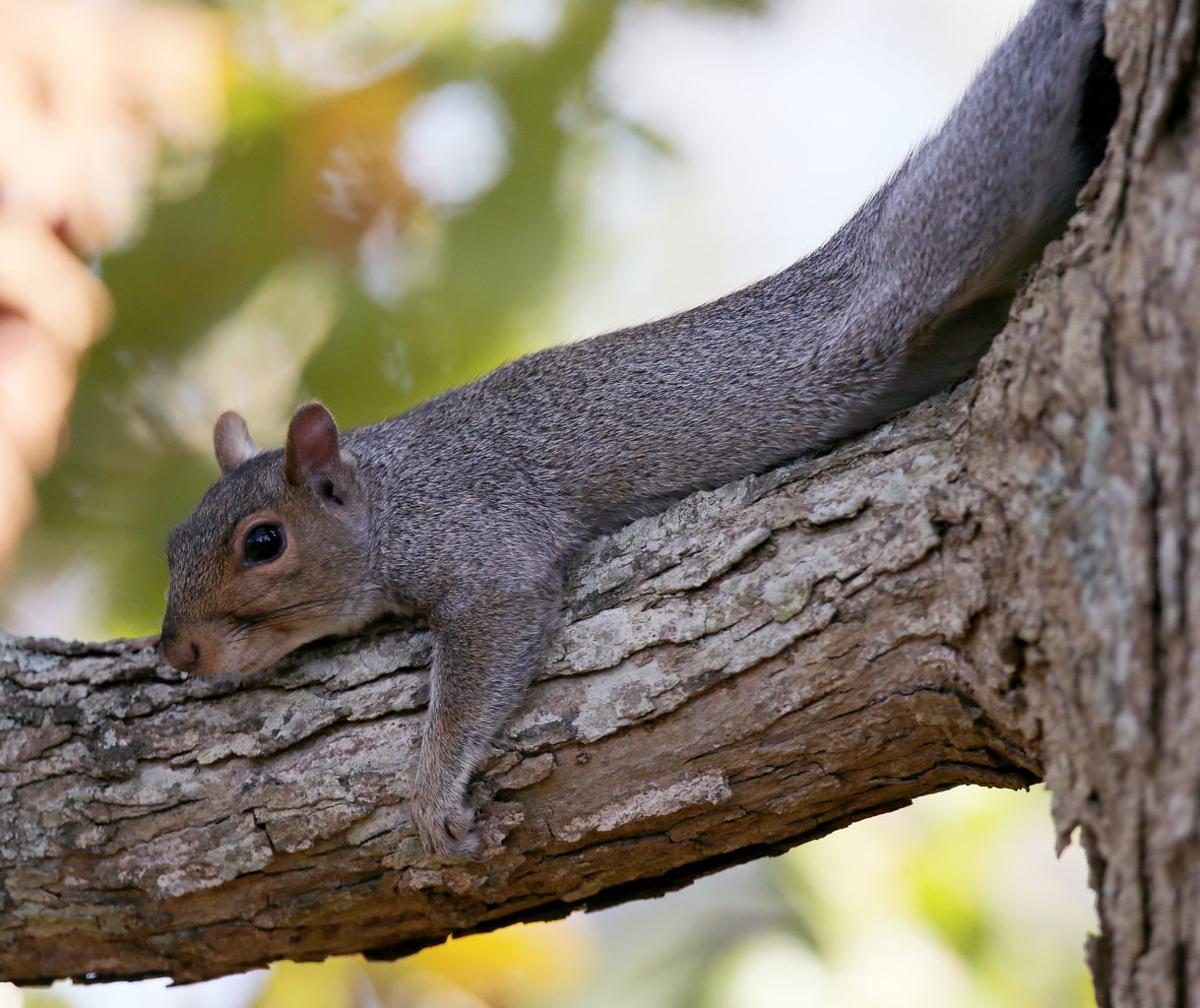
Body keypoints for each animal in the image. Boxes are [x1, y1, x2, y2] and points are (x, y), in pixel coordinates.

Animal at [161, 0, 1117, 860]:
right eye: (172, 542)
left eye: (264, 543)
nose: (177, 649)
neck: (390, 488)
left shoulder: (483, 539)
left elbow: (494, 636)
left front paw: (433, 796)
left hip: (951, 222)